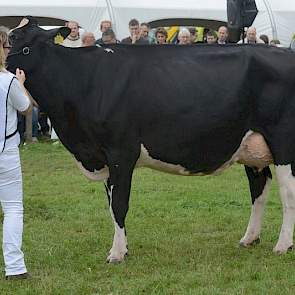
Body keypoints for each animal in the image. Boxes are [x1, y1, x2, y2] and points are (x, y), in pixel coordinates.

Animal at [6, 17, 295, 264]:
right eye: (10, 37)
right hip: (252, 147)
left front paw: (116, 254)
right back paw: (249, 238)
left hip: (283, 142)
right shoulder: (103, 155)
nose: (5, 70)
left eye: (21, 44)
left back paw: (282, 245)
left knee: (287, 192)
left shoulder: (120, 152)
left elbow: (119, 204)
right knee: (259, 188)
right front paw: (123, 248)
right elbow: (111, 205)